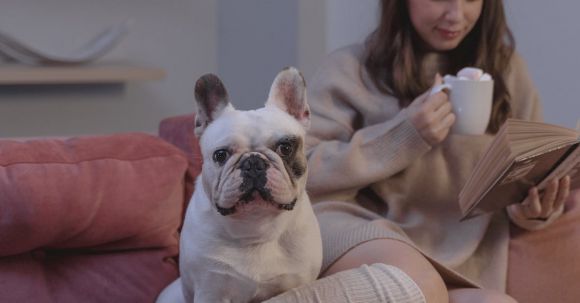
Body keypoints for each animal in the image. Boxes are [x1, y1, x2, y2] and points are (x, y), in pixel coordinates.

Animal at [155, 67, 322, 303]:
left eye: (286, 147)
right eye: (220, 155)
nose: (253, 163)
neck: (255, 226)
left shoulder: (297, 284)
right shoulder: (211, 291)